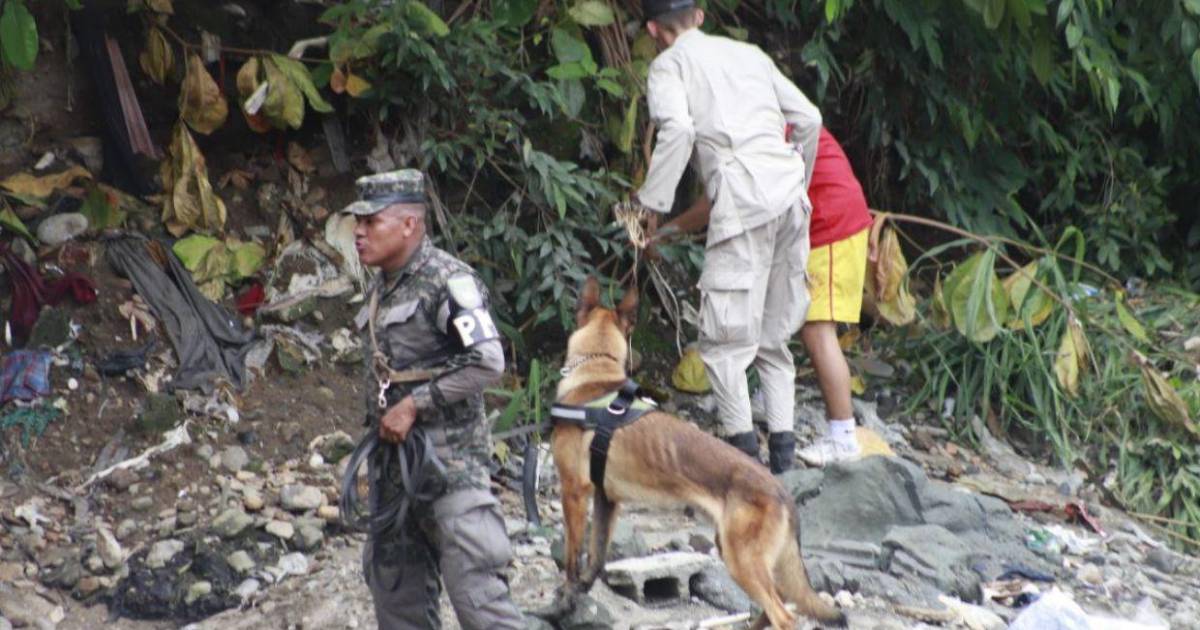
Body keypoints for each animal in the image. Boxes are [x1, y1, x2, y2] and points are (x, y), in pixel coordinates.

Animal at [550, 278, 847, 629]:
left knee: (784, 616)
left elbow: (571, 558)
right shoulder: (606, 500)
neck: (597, 372)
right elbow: (595, 558)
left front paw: (565, 602)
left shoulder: (574, 492)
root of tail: (781, 490)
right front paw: (580, 593)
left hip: (741, 559)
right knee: (775, 602)